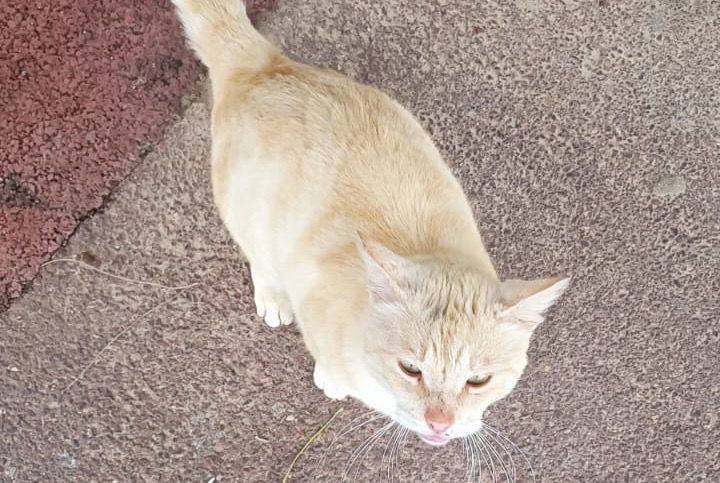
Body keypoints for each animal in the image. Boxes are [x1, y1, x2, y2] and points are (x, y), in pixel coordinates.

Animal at [170, 0, 568, 448]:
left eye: (478, 380)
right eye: (410, 369)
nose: (440, 423)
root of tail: (263, 65)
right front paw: (331, 378)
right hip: (250, 216)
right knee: (259, 257)